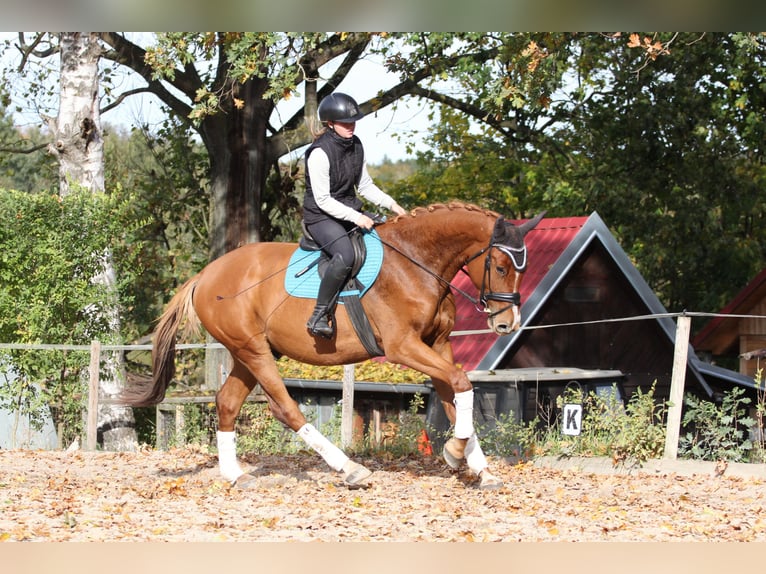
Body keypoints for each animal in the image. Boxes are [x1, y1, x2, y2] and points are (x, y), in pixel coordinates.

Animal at [121, 202, 545, 490]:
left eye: (522, 269)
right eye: (501, 267)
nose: (506, 324)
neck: (415, 263)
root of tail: (205, 276)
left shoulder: (437, 346)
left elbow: (455, 396)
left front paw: (478, 467)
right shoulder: (404, 347)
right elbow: (461, 384)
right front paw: (457, 455)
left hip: (247, 354)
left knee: (226, 403)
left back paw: (235, 475)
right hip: (254, 351)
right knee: (286, 408)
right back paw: (350, 469)